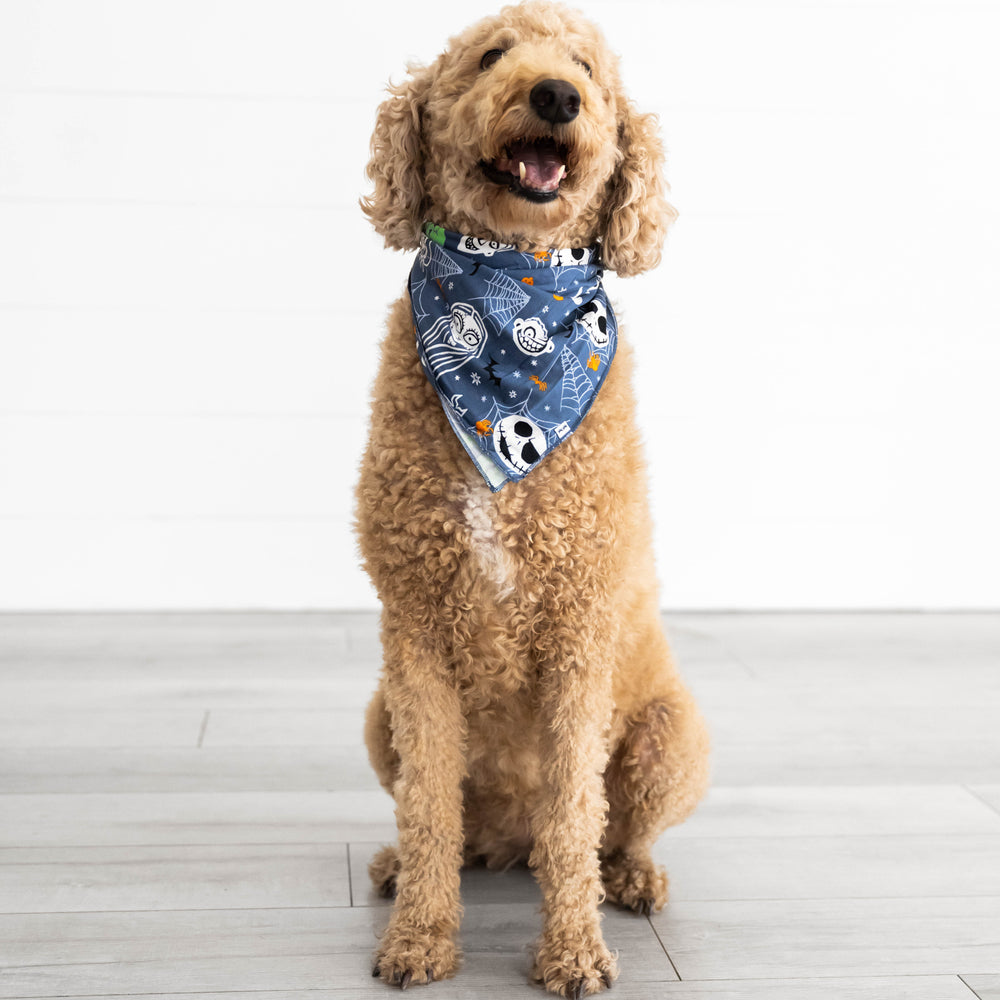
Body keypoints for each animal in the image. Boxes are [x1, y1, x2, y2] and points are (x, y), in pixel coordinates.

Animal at [356, 3, 708, 996]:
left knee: (606, 831)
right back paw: (401, 868)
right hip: (378, 719)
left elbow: (574, 813)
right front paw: (419, 938)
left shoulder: (578, 639)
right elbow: (429, 807)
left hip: (670, 737)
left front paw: (575, 952)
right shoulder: (416, 636)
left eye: (587, 67)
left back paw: (629, 877)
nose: (555, 95)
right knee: (454, 824)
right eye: (490, 56)